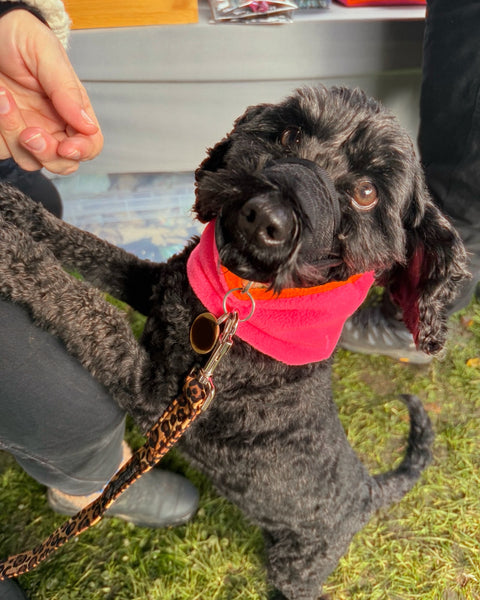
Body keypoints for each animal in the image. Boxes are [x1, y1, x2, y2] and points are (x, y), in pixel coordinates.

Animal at [0, 86, 468, 596]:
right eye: (290, 133)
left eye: (367, 193)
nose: (266, 214)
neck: (240, 307)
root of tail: (365, 491)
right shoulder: (154, 288)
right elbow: (90, 247)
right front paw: (16, 211)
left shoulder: (156, 395)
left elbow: (92, 313)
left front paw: (15, 255)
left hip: (298, 566)